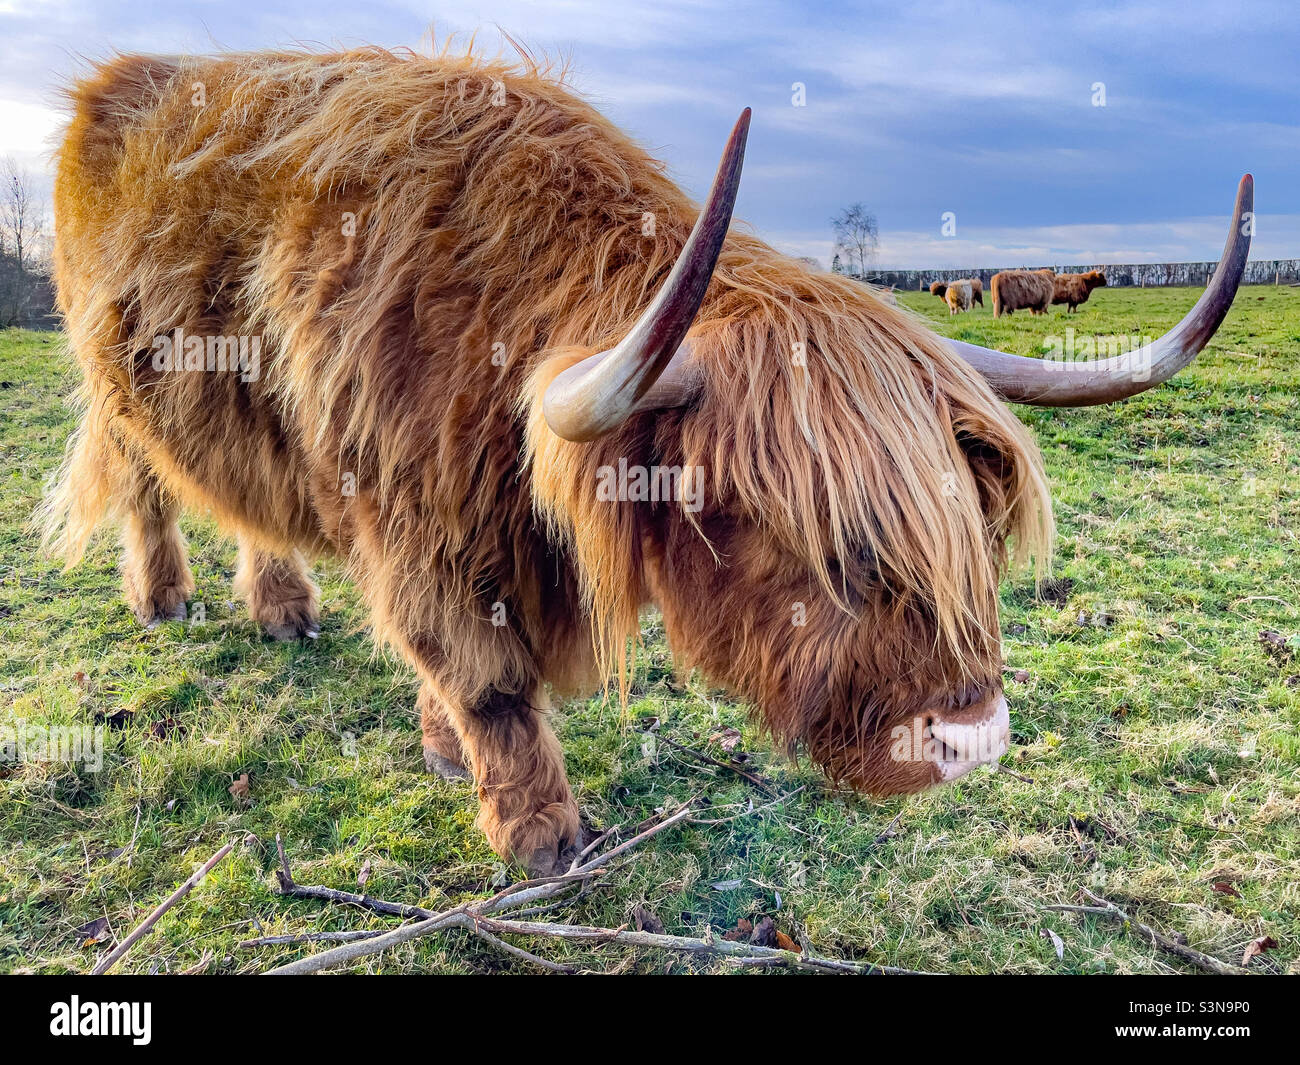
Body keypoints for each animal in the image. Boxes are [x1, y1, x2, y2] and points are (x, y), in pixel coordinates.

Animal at [42, 49, 1252, 875]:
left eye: (967, 531)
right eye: (830, 550)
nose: (975, 740)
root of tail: (116, 80)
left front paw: (443, 752)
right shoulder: (416, 524)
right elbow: (484, 678)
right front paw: (539, 833)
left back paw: (282, 606)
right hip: (120, 384)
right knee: (148, 486)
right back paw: (167, 599)